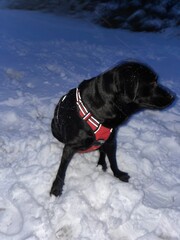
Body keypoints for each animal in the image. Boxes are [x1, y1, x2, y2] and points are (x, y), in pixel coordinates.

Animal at [50, 60, 175, 197]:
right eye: (152, 82)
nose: (172, 96)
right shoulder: (70, 146)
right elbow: (62, 169)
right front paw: (56, 188)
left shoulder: (110, 141)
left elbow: (113, 161)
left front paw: (118, 174)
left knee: (101, 151)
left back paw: (101, 164)